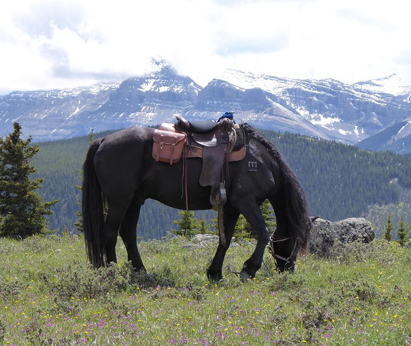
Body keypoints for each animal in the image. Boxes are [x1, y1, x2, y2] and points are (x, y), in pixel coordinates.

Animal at [82, 121, 310, 282]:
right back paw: (111, 273)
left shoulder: (231, 208)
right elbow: (263, 232)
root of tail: (103, 140)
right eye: (297, 242)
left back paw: (141, 272)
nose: (289, 270)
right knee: (109, 234)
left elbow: (225, 240)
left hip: (134, 201)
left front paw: (214, 273)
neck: (261, 162)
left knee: (128, 234)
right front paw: (249, 269)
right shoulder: (245, 201)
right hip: (119, 200)